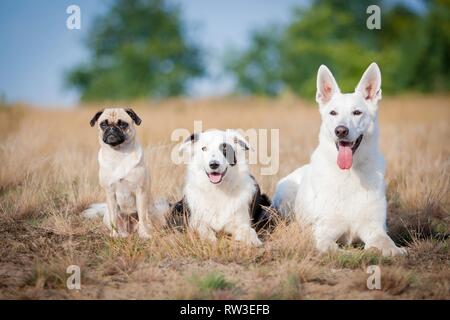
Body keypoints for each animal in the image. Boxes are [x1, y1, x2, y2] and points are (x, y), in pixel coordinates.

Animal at [272, 63, 406, 258]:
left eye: (357, 112)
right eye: (333, 113)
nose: (340, 131)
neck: (349, 173)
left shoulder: (375, 228)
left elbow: (386, 242)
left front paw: (394, 250)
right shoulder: (322, 232)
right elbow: (333, 249)